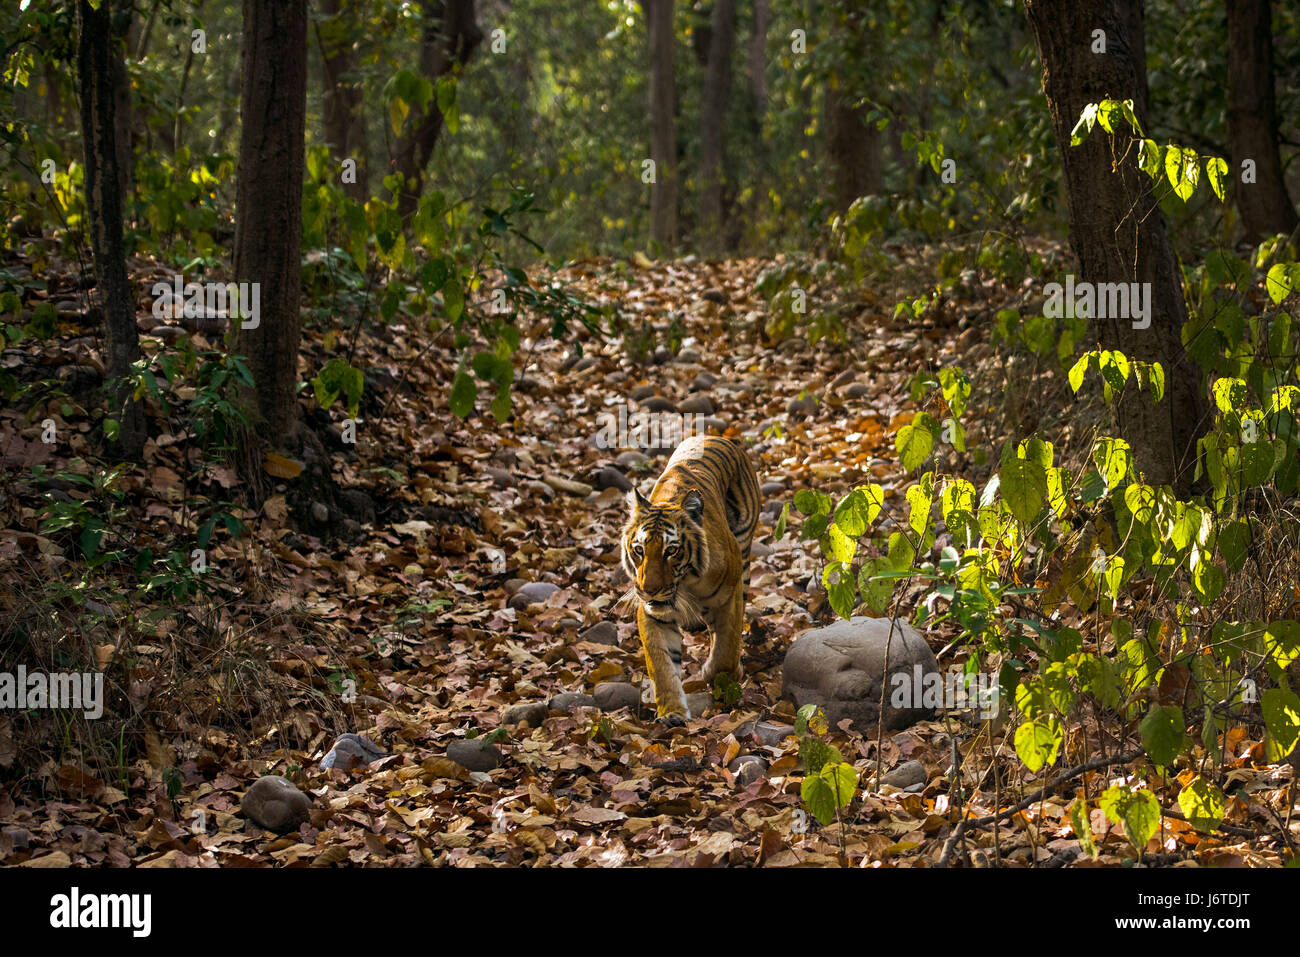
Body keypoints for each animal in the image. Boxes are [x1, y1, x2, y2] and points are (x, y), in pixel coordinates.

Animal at [621, 434, 759, 722]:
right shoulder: (652, 614)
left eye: (671, 551)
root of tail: (715, 435)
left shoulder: (729, 596)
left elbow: (725, 649)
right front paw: (672, 713)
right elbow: (661, 666)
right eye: (639, 550)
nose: (649, 589)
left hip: (743, 546)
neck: (685, 585)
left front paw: (719, 675)